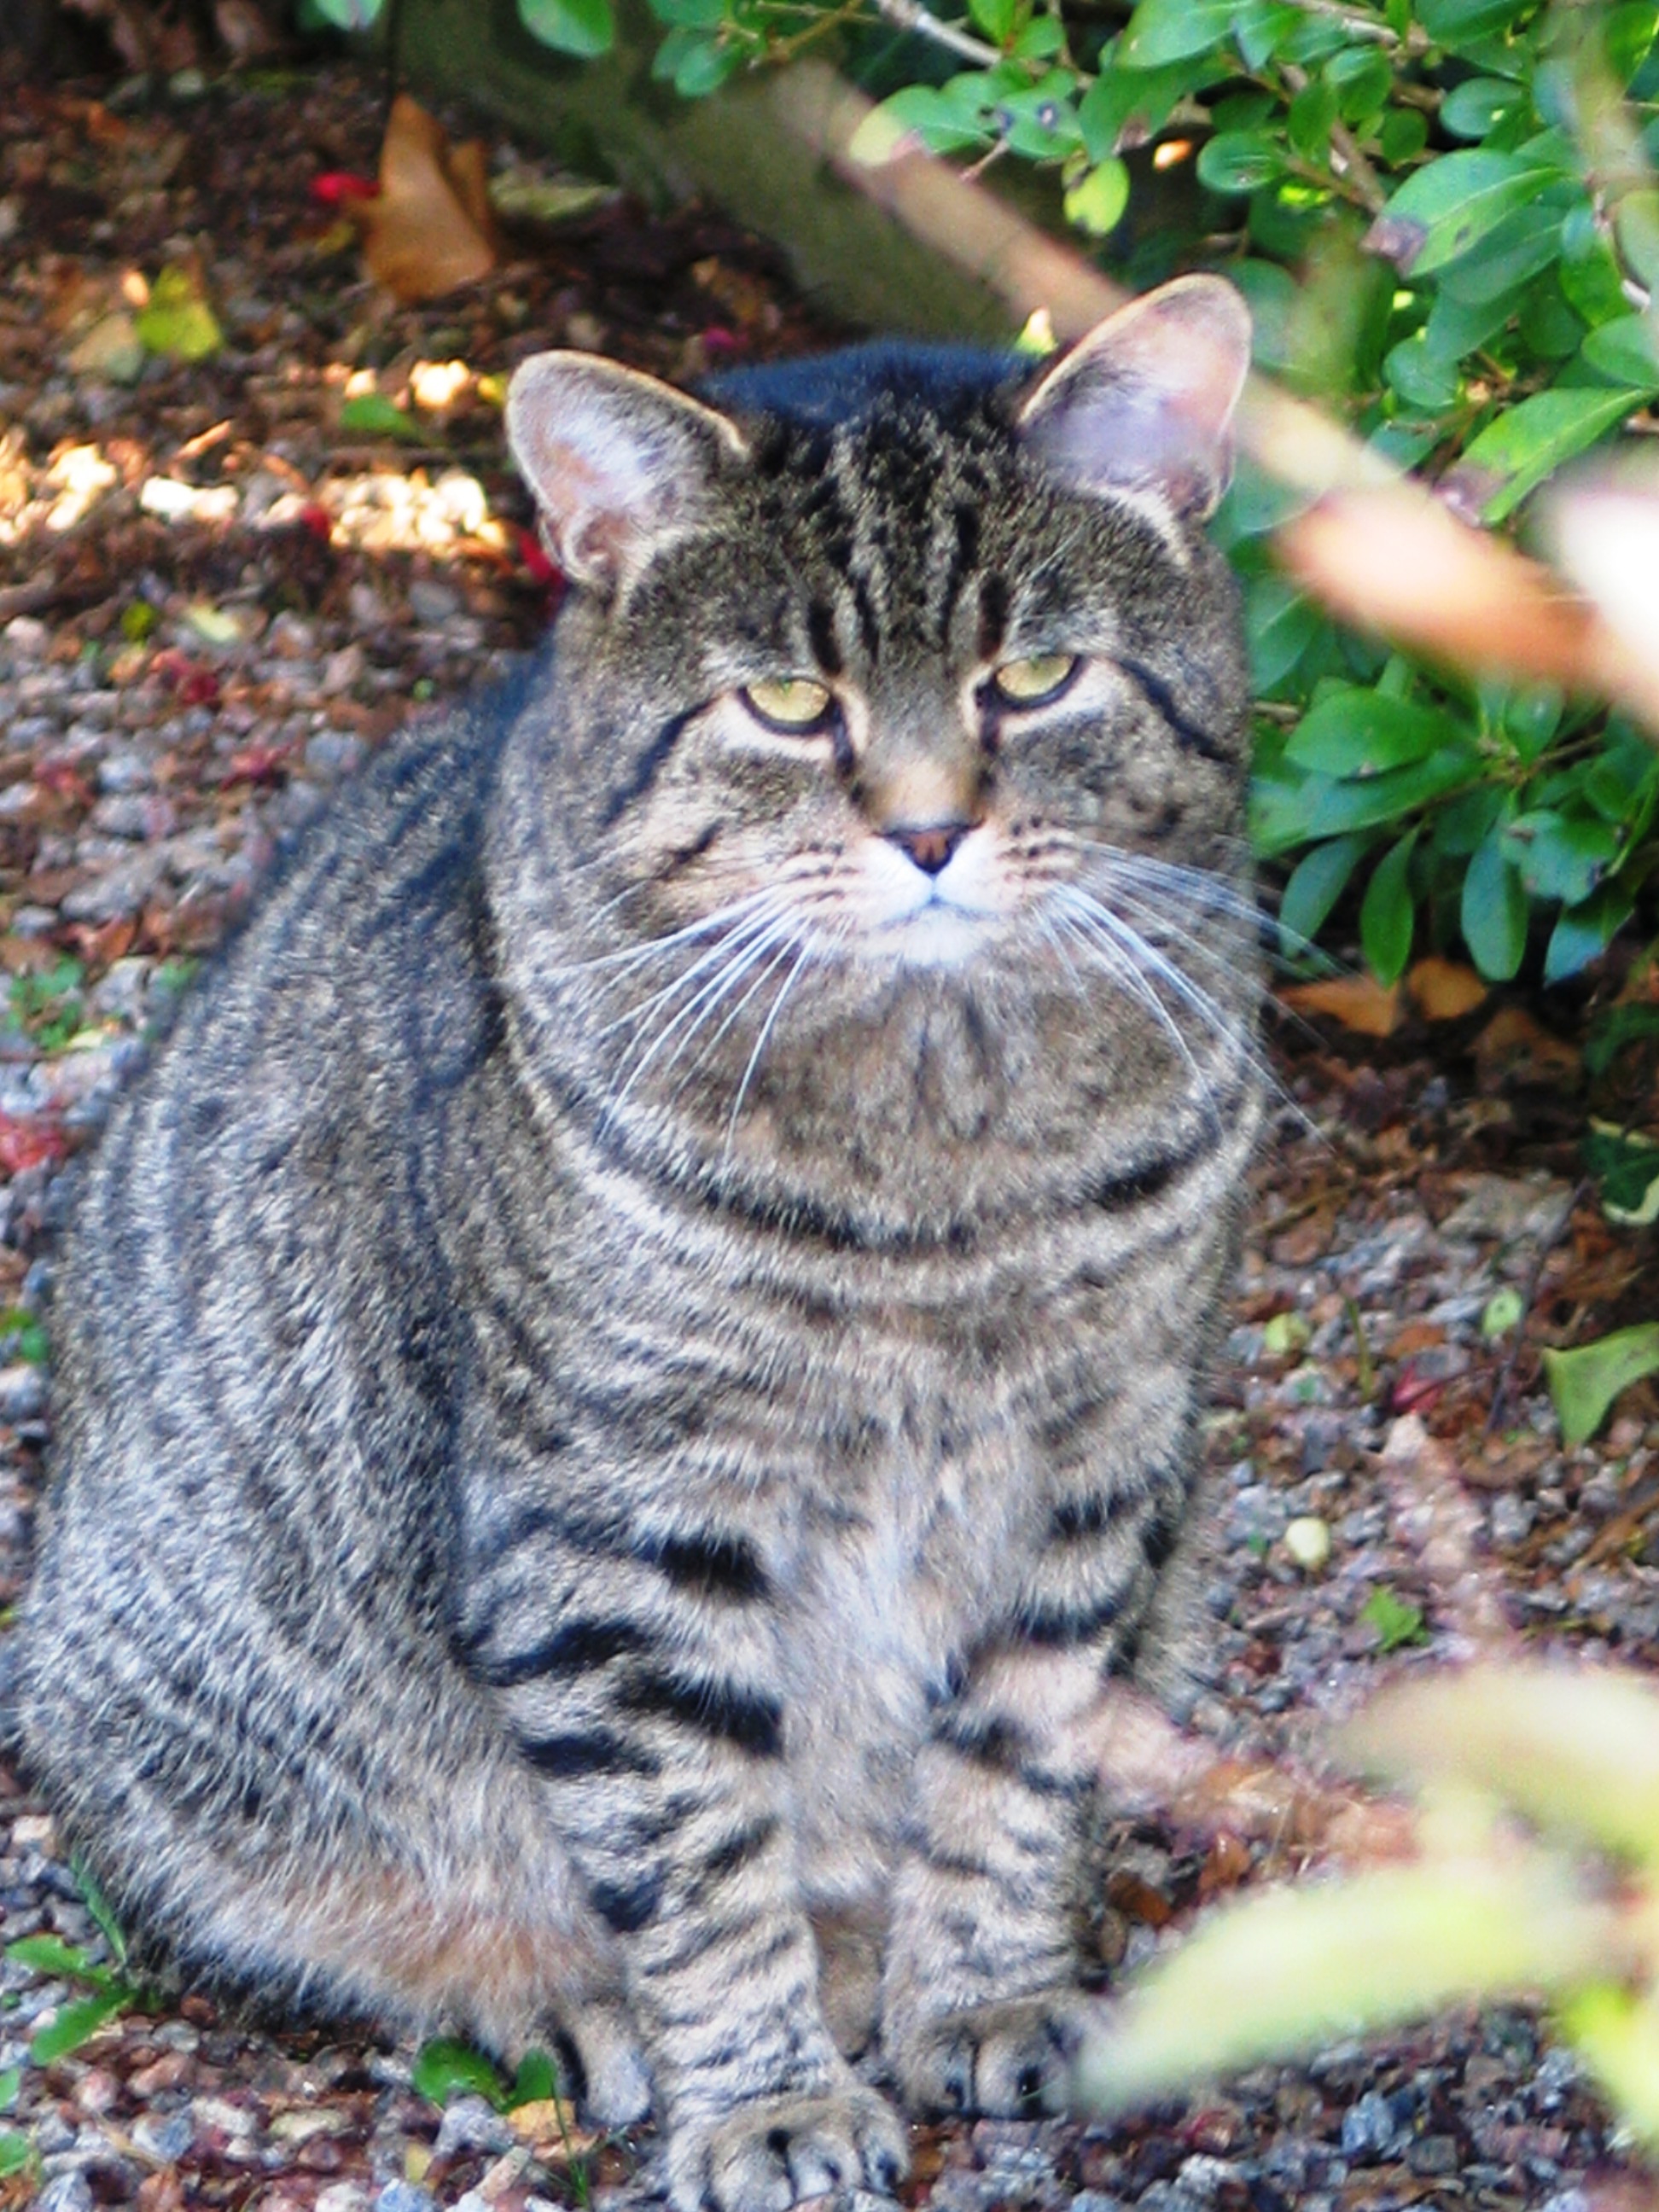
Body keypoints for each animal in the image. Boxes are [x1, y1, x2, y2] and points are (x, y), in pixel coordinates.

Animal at [19, 274, 1258, 2212]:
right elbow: (697, 1849)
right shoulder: (620, 1524)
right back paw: (559, 1996)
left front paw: (979, 1988)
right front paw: (766, 2102)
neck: (942, 1142)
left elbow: (1014, 1762)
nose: (929, 827)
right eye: (787, 702)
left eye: (1035, 677)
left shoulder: (1098, 1461)